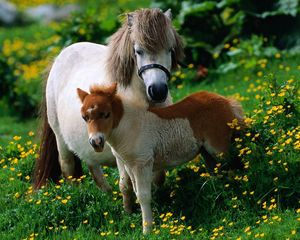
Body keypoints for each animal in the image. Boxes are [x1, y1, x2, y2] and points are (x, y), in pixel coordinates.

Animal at [34, 7, 185, 191]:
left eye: (170, 50)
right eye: (139, 51)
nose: (158, 90)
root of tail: (58, 58)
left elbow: (158, 177)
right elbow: (127, 182)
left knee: (93, 165)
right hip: (60, 139)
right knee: (68, 167)